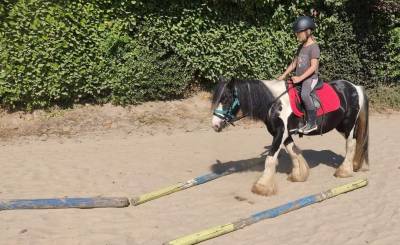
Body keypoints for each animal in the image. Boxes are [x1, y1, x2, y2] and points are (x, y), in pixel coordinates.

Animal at [211, 78, 370, 197]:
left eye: (226, 98)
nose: (215, 125)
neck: (274, 103)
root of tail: (355, 87)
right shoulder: (284, 134)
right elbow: (293, 152)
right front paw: (299, 175)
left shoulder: (280, 133)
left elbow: (270, 159)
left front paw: (262, 187)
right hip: (340, 127)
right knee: (356, 142)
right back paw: (354, 165)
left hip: (348, 125)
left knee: (351, 144)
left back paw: (344, 171)